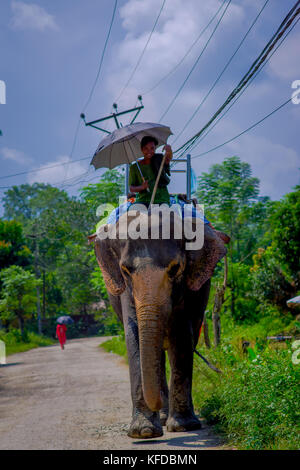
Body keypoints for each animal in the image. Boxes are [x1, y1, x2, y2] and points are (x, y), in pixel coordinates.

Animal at [92, 207, 226, 438]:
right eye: (125, 270)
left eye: (175, 268)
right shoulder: (126, 290)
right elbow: (134, 335)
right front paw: (143, 432)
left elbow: (180, 334)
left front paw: (183, 427)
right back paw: (162, 418)